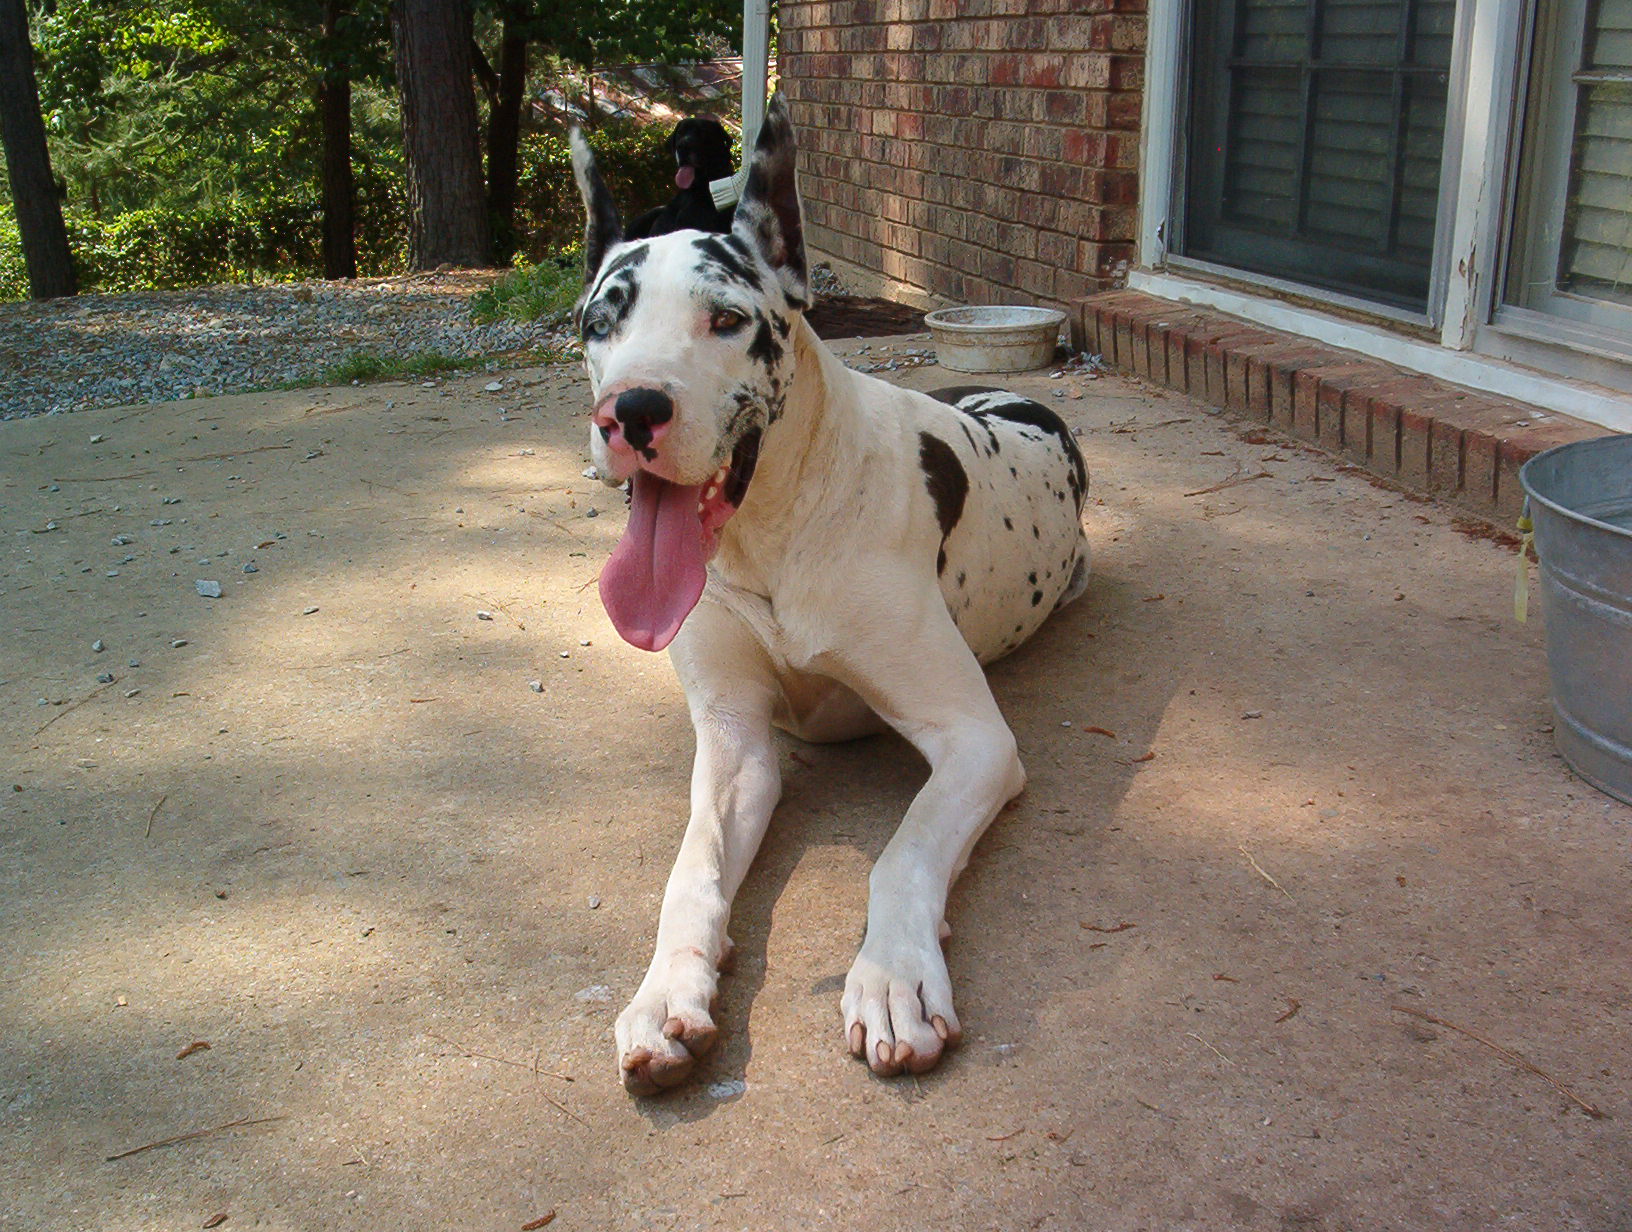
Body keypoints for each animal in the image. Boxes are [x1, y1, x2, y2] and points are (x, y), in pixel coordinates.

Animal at [574, 98, 1096, 1096]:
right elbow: (690, 872)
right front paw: (664, 994)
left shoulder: (975, 740)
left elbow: (903, 852)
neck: (772, 535)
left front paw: (893, 978)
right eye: (598, 324)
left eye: (726, 318)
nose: (631, 410)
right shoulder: (737, 745)